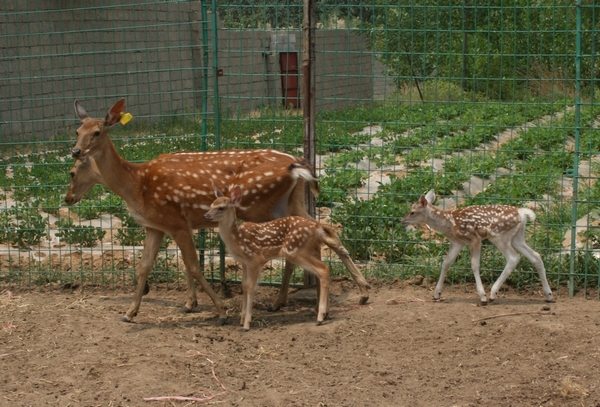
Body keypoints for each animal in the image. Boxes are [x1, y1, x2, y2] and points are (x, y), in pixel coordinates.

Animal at [68, 97, 322, 324]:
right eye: (77, 130)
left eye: (97, 132)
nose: (76, 151)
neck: (137, 185)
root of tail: (295, 163)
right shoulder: (155, 226)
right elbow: (144, 267)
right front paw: (130, 312)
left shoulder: (177, 222)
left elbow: (193, 265)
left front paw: (219, 310)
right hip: (289, 202)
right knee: (315, 228)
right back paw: (294, 300)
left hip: (261, 207)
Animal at [206, 183, 370, 330]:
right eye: (211, 204)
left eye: (221, 207)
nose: (206, 215)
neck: (237, 239)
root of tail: (316, 228)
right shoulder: (244, 262)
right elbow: (244, 286)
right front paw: (241, 320)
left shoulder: (255, 259)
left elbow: (251, 287)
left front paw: (247, 324)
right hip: (305, 250)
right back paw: (326, 311)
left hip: (296, 250)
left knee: (323, 269)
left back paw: (321, 316)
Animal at [400, 190, 556, 304]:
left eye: (412, 211)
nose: (402, 220)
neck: (449, 223)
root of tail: (522, 214)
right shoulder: (457, 242)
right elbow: (446, 263)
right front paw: (436, 294)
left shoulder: (474, 239)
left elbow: (474, 265)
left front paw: (482, 296)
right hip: (517, 237)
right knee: (536, 256)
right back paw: (549, 295)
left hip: (499, 236)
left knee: (513, 258)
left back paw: (493, 293)